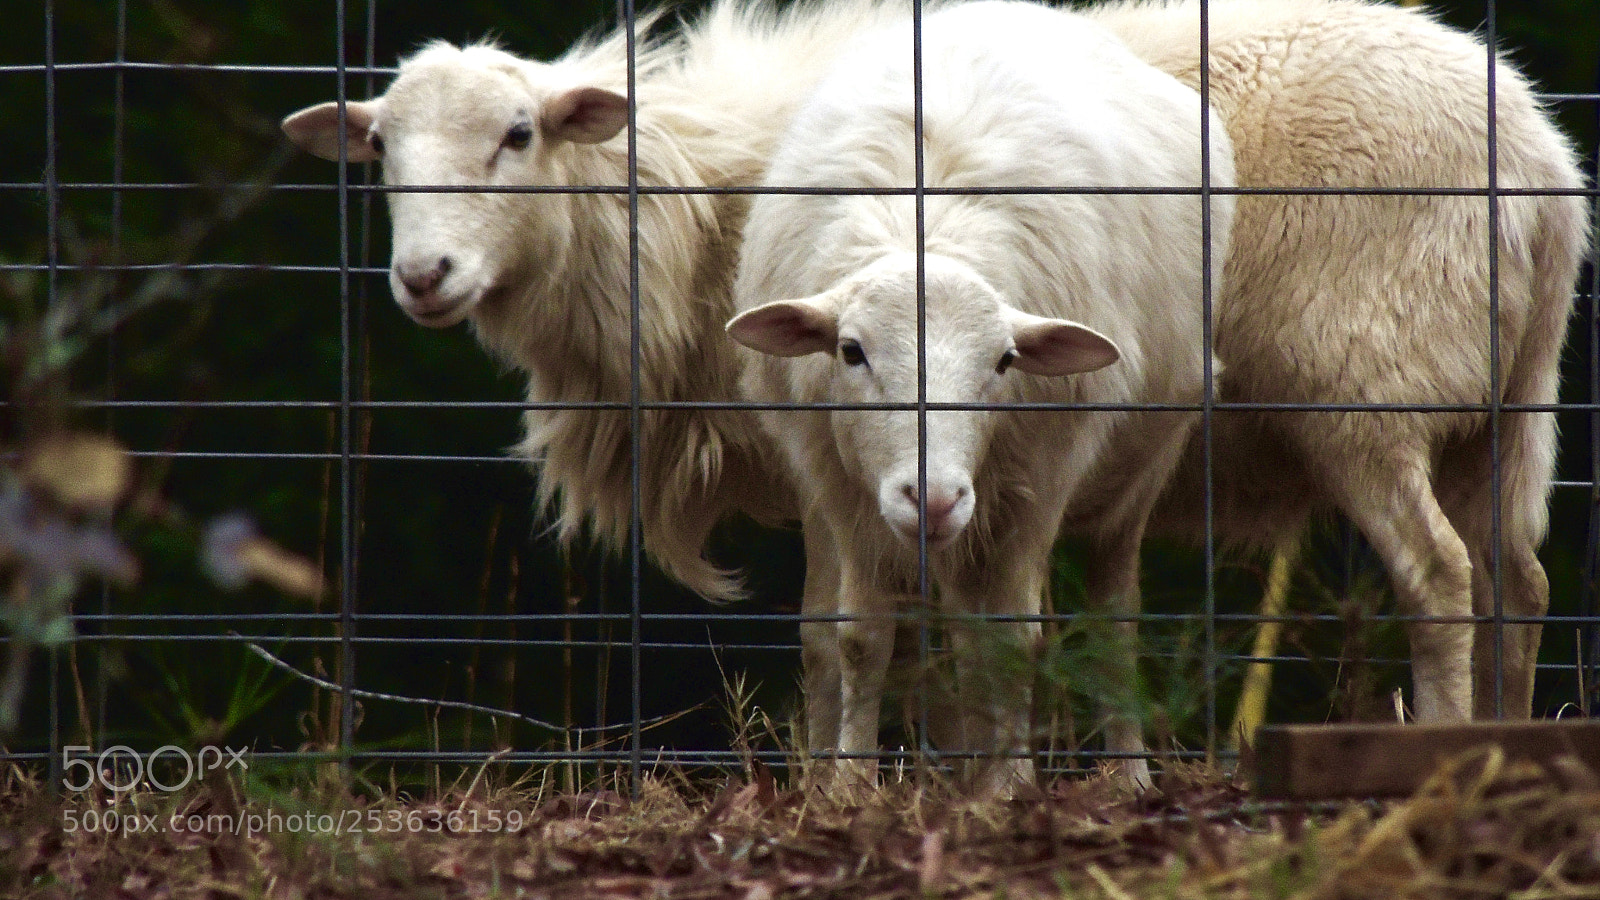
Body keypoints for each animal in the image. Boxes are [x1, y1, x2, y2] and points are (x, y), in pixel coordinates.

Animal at [727, 0, 1235, 792]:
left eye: (1005, 361)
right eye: (850, 351)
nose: (932, 497)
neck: (926, 221)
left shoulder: (1041, 476)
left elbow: (1017, 639)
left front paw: (1007, 788)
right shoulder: (840, 483)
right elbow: (859, 637)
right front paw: (847, 786)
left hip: (1131, 478)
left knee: (1111, 620)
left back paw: (1121, 774)